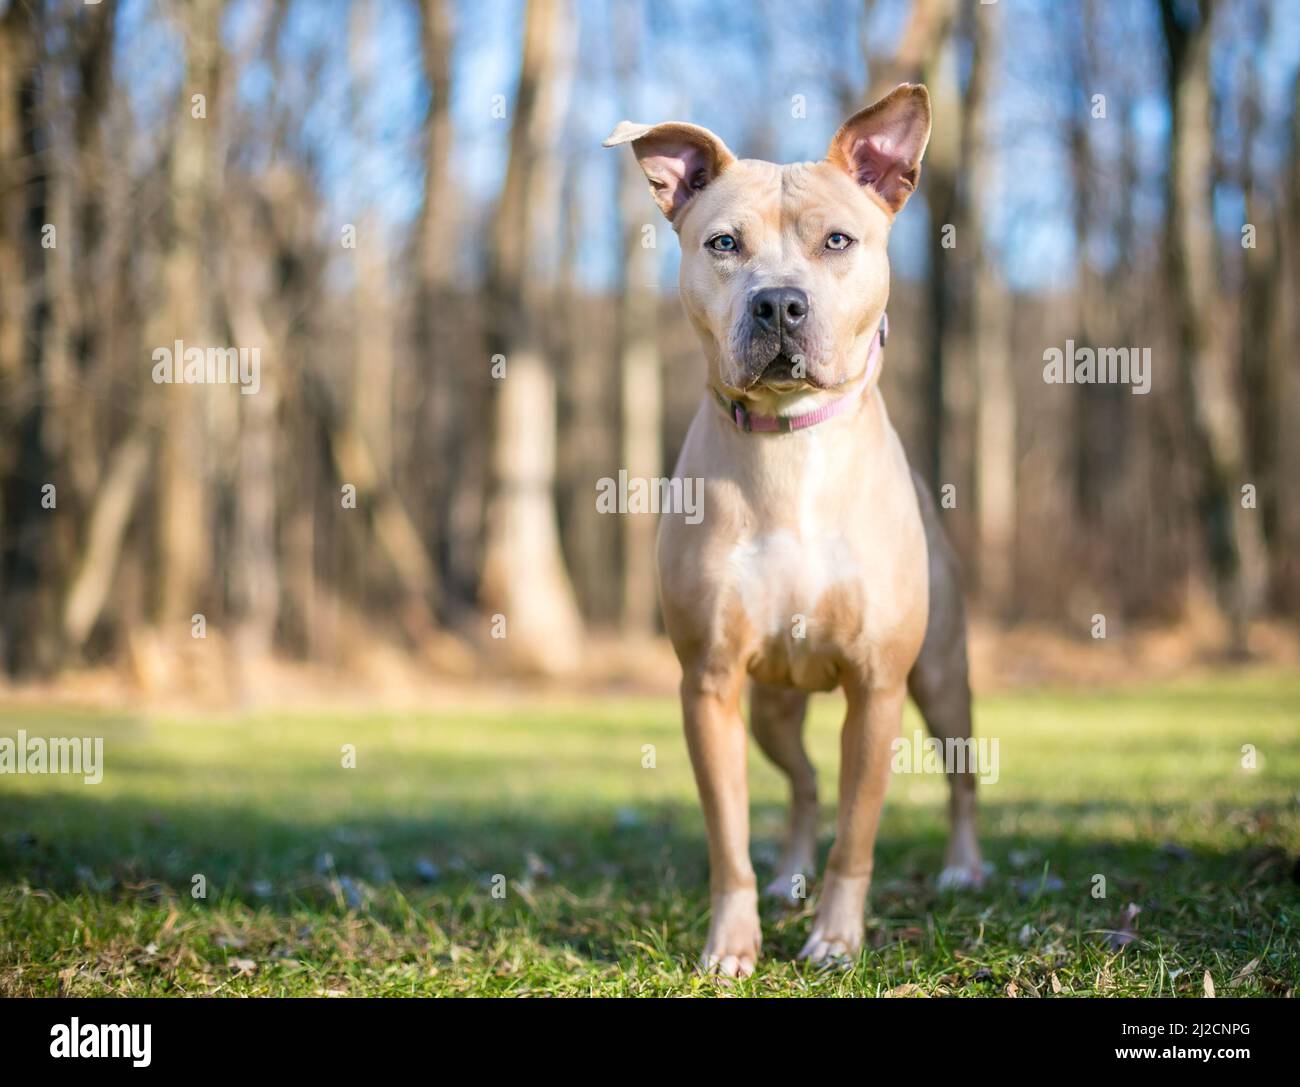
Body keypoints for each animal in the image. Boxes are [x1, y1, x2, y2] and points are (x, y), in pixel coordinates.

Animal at [608, 82, 982, 977]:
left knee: (960, 776)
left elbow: (860, 832)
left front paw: (837, 938)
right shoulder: (709, 683)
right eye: (724, 243)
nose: (779, 301)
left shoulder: (879, 686)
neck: (791, 447)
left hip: (942, 677)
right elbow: (729, 834)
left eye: (837, 240)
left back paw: (963, 866)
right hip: (773, 705)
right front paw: (733, 941)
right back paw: (787, 878)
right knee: (806, 781)